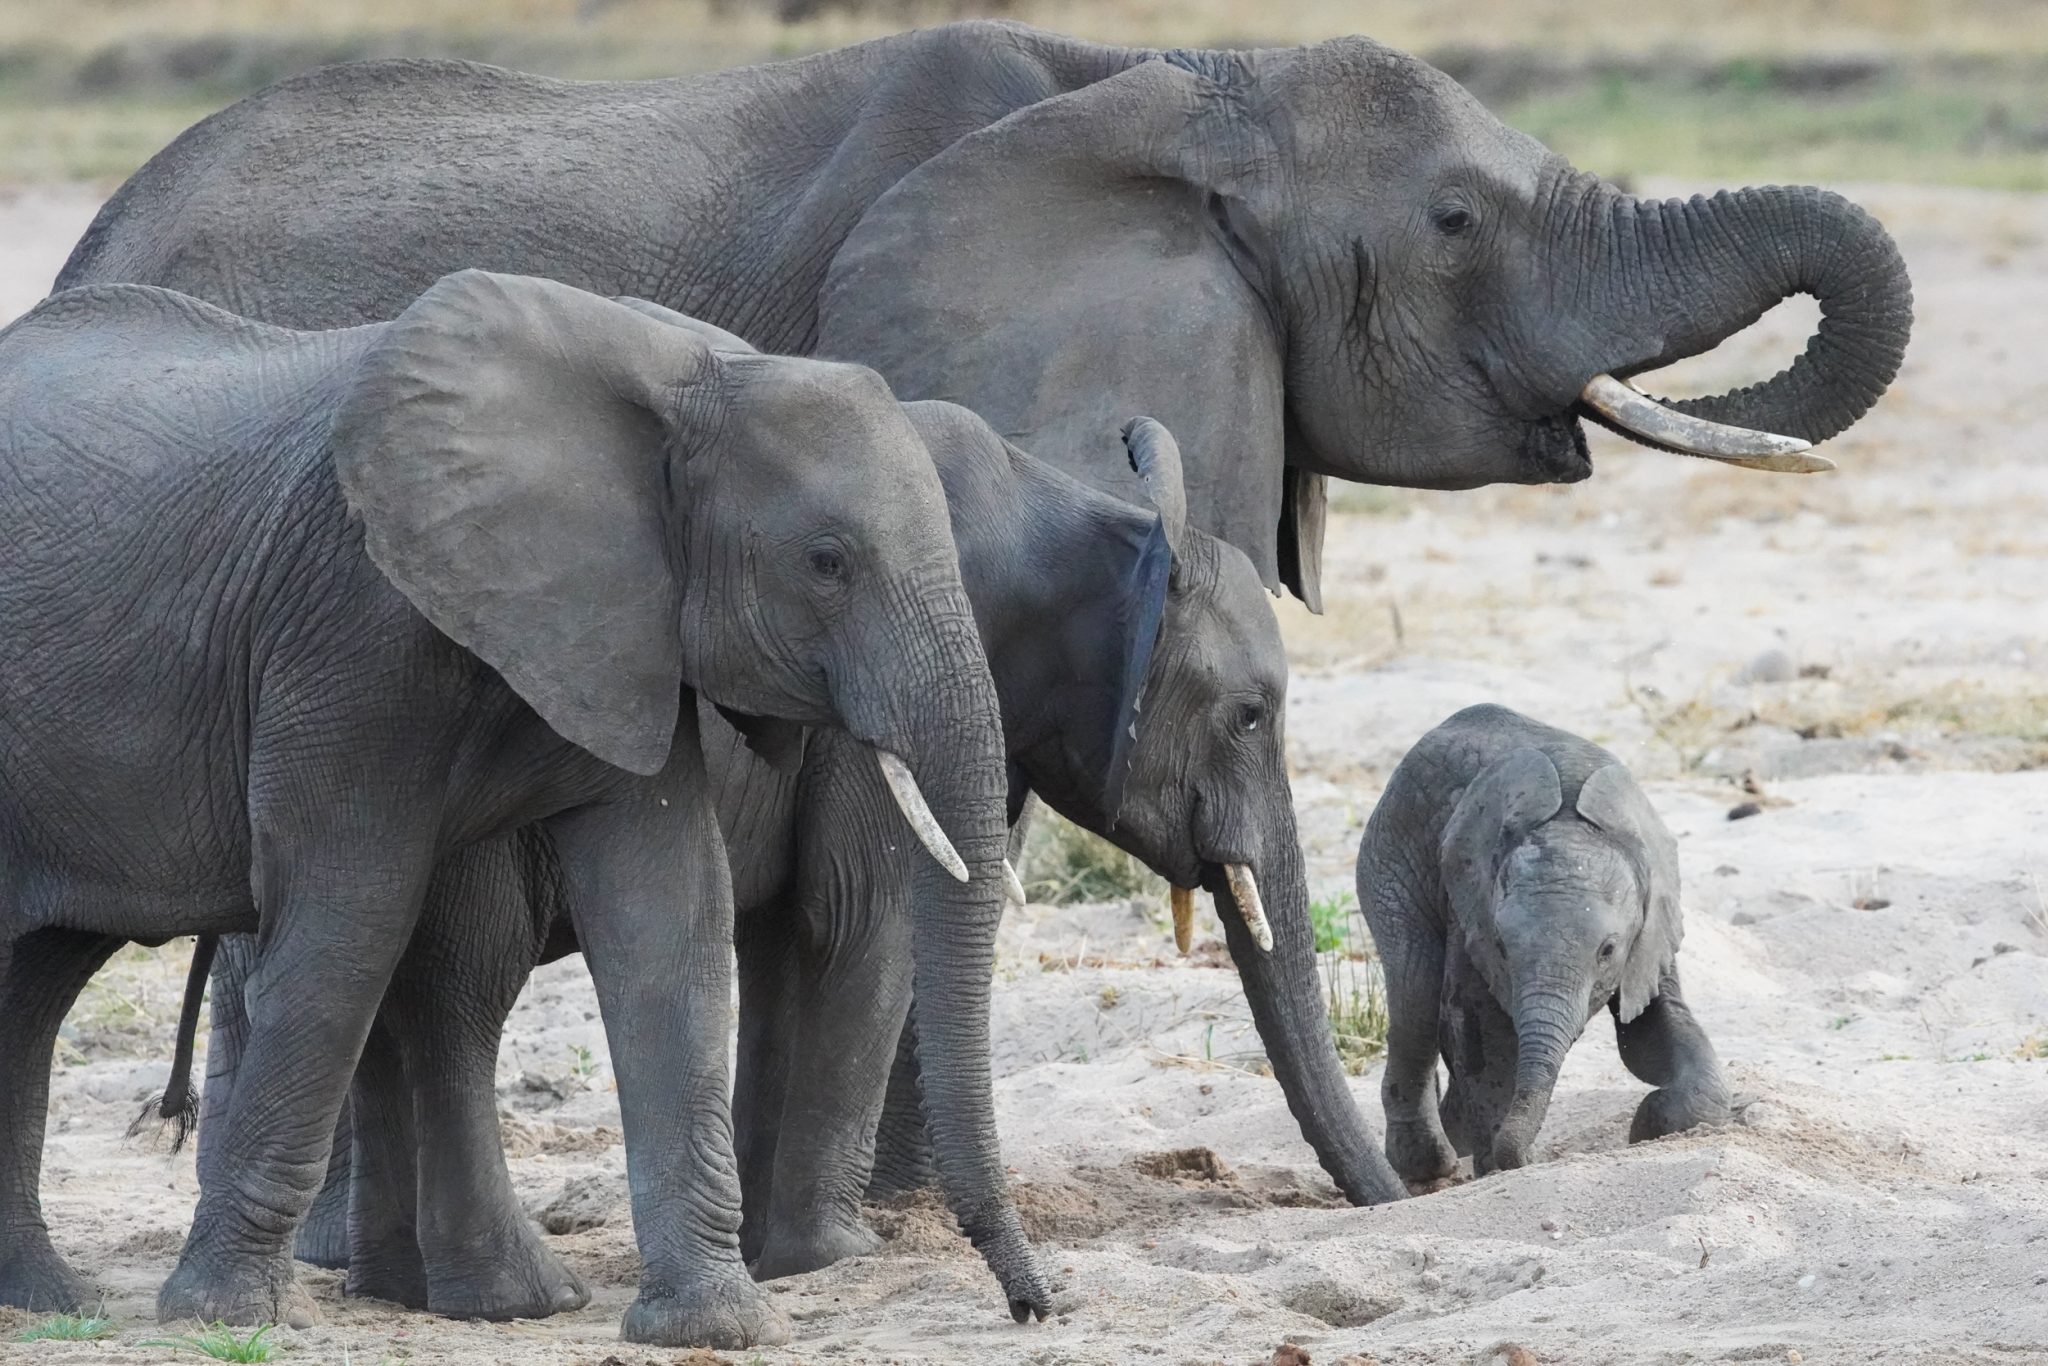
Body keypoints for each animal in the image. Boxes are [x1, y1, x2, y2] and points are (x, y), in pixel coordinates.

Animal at [0, 271, 1048, 1346]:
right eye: (828, 562)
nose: (1030, 1307)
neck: (688, 370)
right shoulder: (349, 628)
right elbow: (350, 920)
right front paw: (225, 1318)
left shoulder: (621, 625)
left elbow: (668, 919)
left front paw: (714, 1327)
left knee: (34, 982)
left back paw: (43, 1298)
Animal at [1356, 705, 1730, 1180]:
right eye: (1502, 946)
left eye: (1608, 951)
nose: (1530, 1155)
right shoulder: (1471, 912)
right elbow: (1484, 1034)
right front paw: (1500, 1165)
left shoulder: (1651, 933)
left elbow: (1656, 1031)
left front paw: (1649, 1123)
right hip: (1389, 858)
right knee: (1415, 996)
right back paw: (1431, 1164)